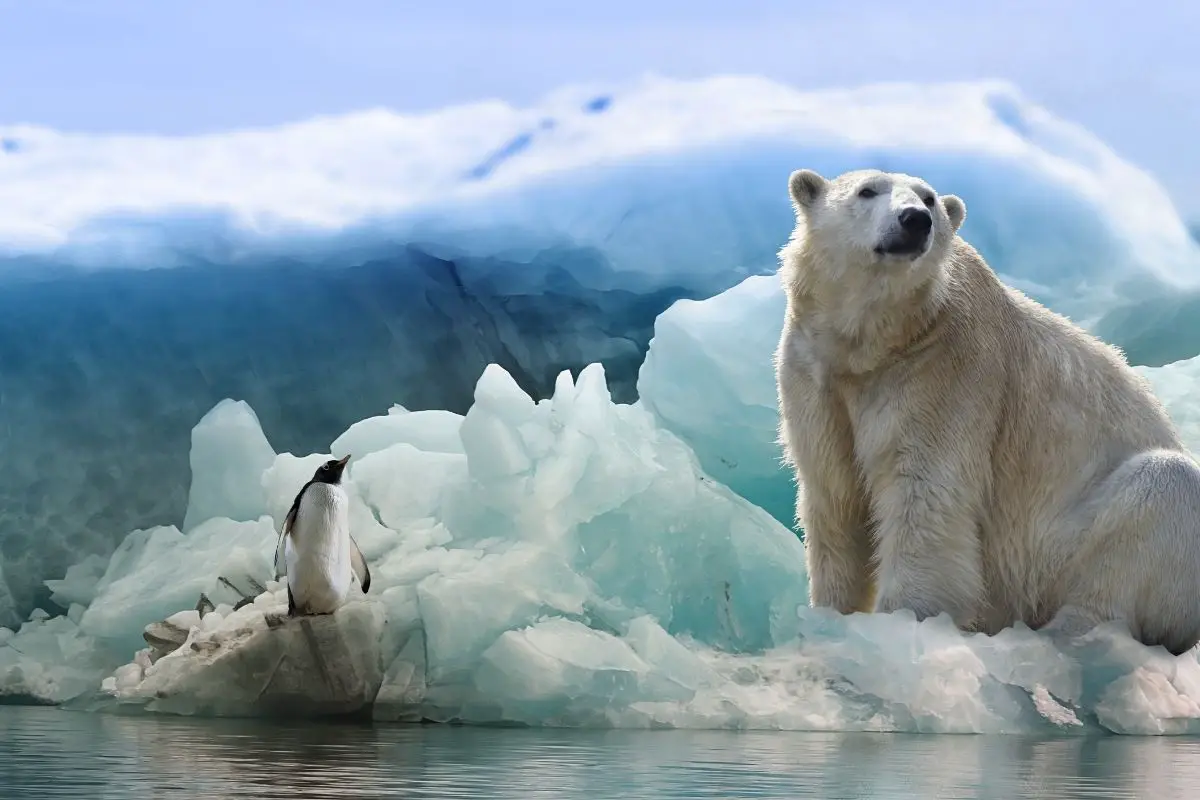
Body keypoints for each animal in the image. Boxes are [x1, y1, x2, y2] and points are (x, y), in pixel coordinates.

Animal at [772, 165, 1200, 652]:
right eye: (867, 191)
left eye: (929, 198)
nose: (915, 220)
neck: (878, 342)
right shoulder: (815, 374)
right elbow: (834, 493)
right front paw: (830, 615)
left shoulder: (944, 369)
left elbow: (924, 495)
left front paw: (903, 622)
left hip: (1068, 546)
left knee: (1160, 492)